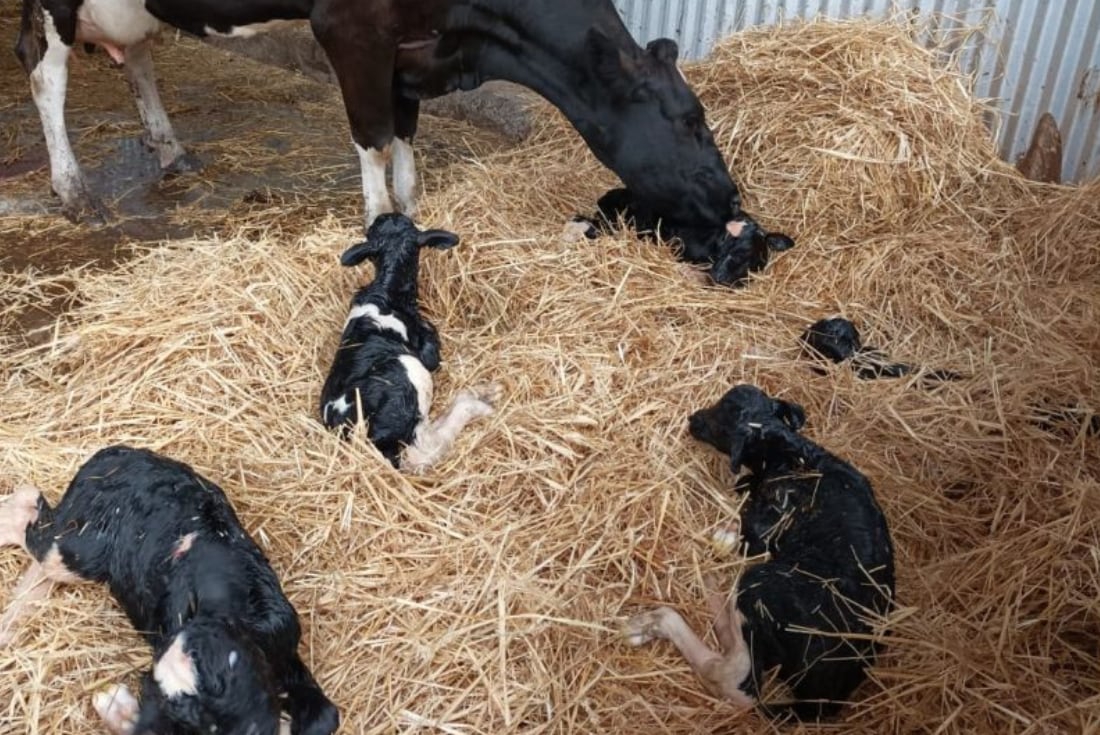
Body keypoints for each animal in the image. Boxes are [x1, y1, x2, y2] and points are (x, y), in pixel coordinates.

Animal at [15, 0, 739, 229]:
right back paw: (74, 192)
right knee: (43, 69)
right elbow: (374, 137)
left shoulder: (412, 53)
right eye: (692, 119)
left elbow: (406, 138)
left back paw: (171, 151)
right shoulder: (350, 29)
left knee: (136, 55)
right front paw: (379, 223)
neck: (477, 40)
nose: (732, 198)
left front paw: (410, 209)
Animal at [321, 212, 501, 470]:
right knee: (425, 449)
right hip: (411, 377)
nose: (385, 214)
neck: (387, 289)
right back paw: (480, 403)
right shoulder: (427, 352)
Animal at [624, 387, 897, 721]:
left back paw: (657, 619)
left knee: (734, 680)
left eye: (718, 421)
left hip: (760, 583)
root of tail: (822, 700)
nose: (692, 419)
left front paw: (722, 537)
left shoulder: (763, 529)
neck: (792, 456)